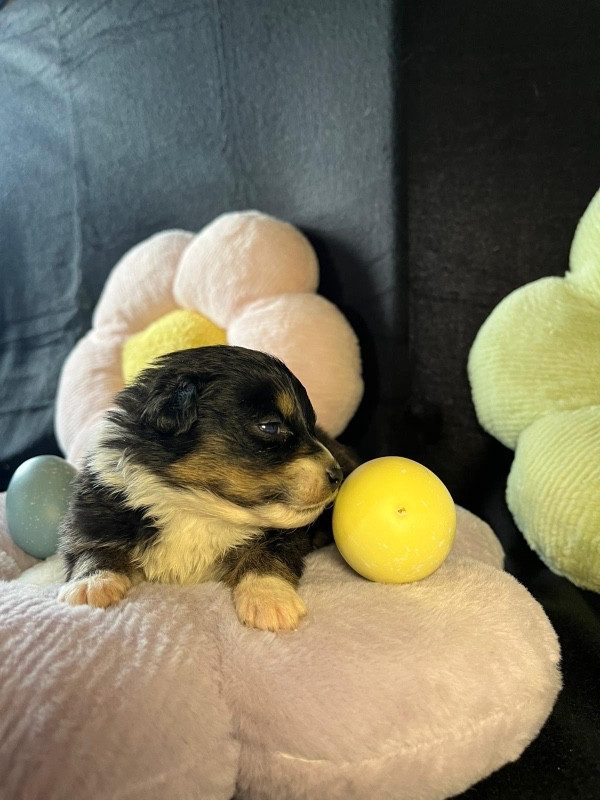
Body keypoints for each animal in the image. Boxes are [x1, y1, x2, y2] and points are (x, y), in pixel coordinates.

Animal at [57, 345, 358, 631]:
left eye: (310, 427)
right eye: (271, 426)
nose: (337, 475)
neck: (198, 508)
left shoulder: (285, 536)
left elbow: (268, 554)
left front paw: (269, 598)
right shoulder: (97, 509)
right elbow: (92, 549)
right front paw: (92, 585)